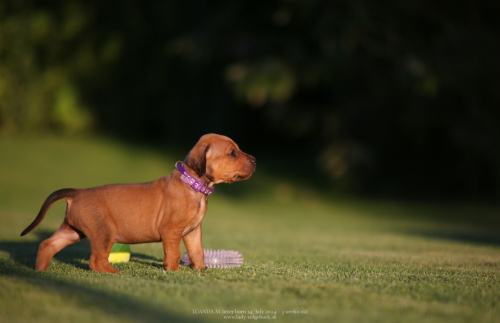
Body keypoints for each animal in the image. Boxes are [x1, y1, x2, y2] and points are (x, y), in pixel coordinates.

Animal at [20, 134, 256, 274]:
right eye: (232, 153)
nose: (255, 160)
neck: (193, 185)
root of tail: (77, 193)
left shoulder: (193, 231)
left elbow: (198, 252)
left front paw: (200, 270)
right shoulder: (171, 231)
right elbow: (174, 254)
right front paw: (174, 272)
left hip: (73, 230)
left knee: (48, 244)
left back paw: (40, 271)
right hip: (104, 231)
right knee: (96, 261)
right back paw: (114, 274)